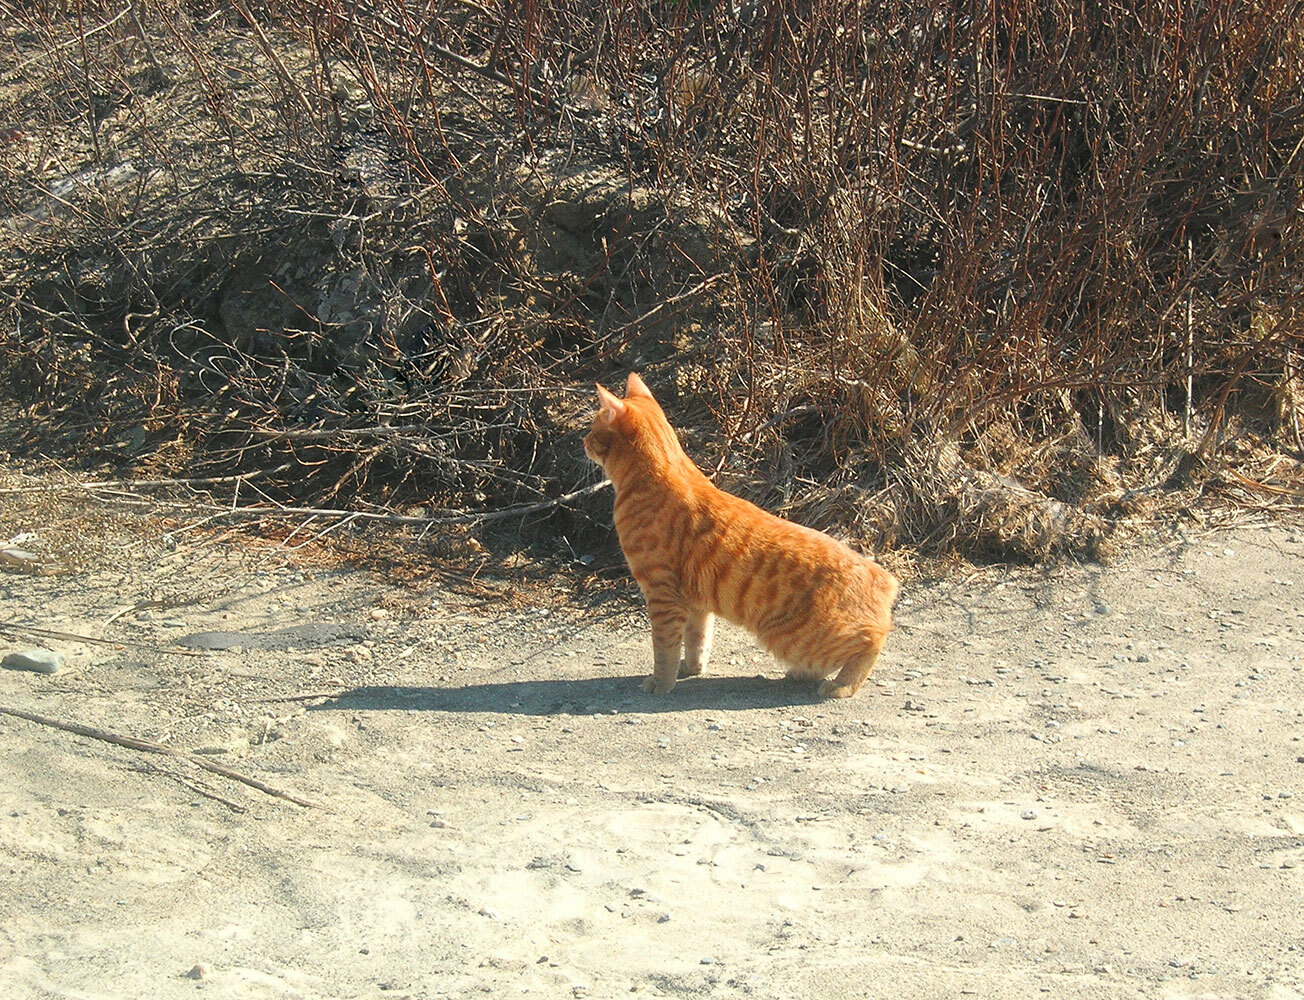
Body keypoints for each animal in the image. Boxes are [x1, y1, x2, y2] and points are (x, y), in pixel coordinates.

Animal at [584, 372, 897, 698]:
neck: (662, 472)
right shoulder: (695, 603)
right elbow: (696, 641)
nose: (583, 442)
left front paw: (661, 683)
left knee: (872, 641)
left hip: (793, 637)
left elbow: (664, 649)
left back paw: (842, 685)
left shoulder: (662, 595)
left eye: (593, 430)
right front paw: (691, 669)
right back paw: (802, 674)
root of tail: (883, 578)